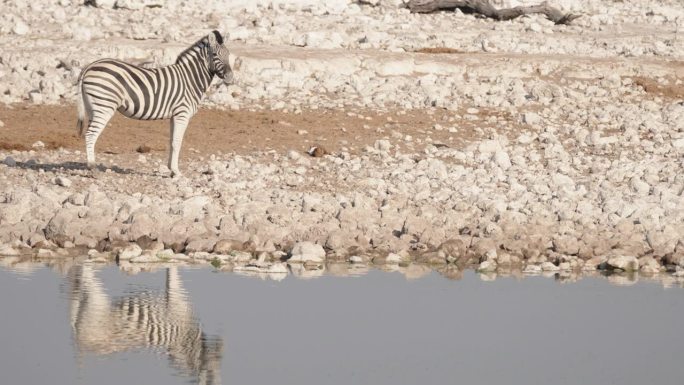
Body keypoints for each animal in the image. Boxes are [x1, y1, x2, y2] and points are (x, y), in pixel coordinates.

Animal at [68, 264, 222, 384]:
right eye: (211, 371)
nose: (221, 344)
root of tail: (79, 341)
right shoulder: (178, 303)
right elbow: (174, 275)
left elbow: (169, 276)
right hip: (97, 303)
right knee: (86, 274)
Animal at [76, 30, 234, 177]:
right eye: (215, 54)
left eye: (228, 54)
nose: (230, 78)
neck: (190, 79)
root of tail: (90, 66)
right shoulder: (182, 113)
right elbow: (178, 142)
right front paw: (177, 172)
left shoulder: (174, 115)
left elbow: (172, 142)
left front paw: (171, 170)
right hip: (104, 106)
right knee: (90, 135)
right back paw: (92, 167)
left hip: (93, 107)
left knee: (89, 133)